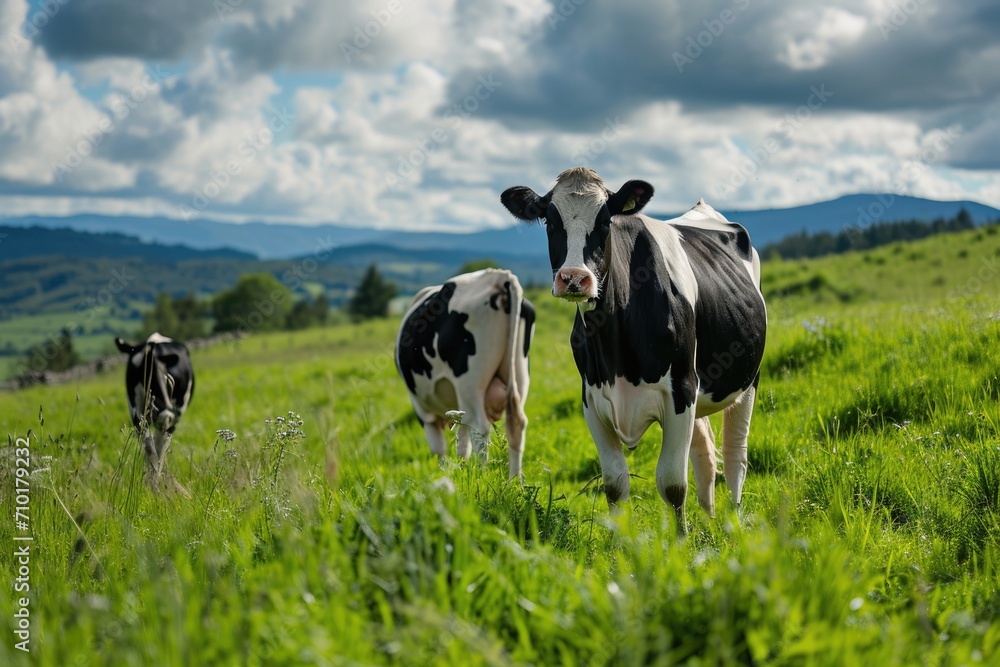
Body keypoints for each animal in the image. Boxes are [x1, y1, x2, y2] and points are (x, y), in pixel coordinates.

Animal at [115, 332, 195, 494]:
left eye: (166, 376)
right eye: (139, 374)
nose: (165, 413)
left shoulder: (172, 419)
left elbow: (160, 450)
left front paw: (158, 485)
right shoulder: (137, 417)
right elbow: (150, 449)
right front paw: (152, 485)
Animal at [396, 268, 540, 478]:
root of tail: (499, 276)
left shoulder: (422, 411)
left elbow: (439, 449)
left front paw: (445, 475)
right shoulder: (460, 409)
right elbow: (462, 444)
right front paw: (462, 470)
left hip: (469, 384)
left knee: (480, 428)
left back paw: (482, 475)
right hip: (518, 373)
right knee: (516, 425)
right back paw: (515, 480)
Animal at [500, 168, 764, 532]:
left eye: (605, 221)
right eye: (550, 222)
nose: (574, 278)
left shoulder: (680, 390)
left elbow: (672, 483)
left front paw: (680, 542)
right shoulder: (592, 399)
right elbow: (614, 484)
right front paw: (620, 542)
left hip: (746, 380)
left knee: (736, 454)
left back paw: (734, 521)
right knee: (706, 455)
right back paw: (709, 519)